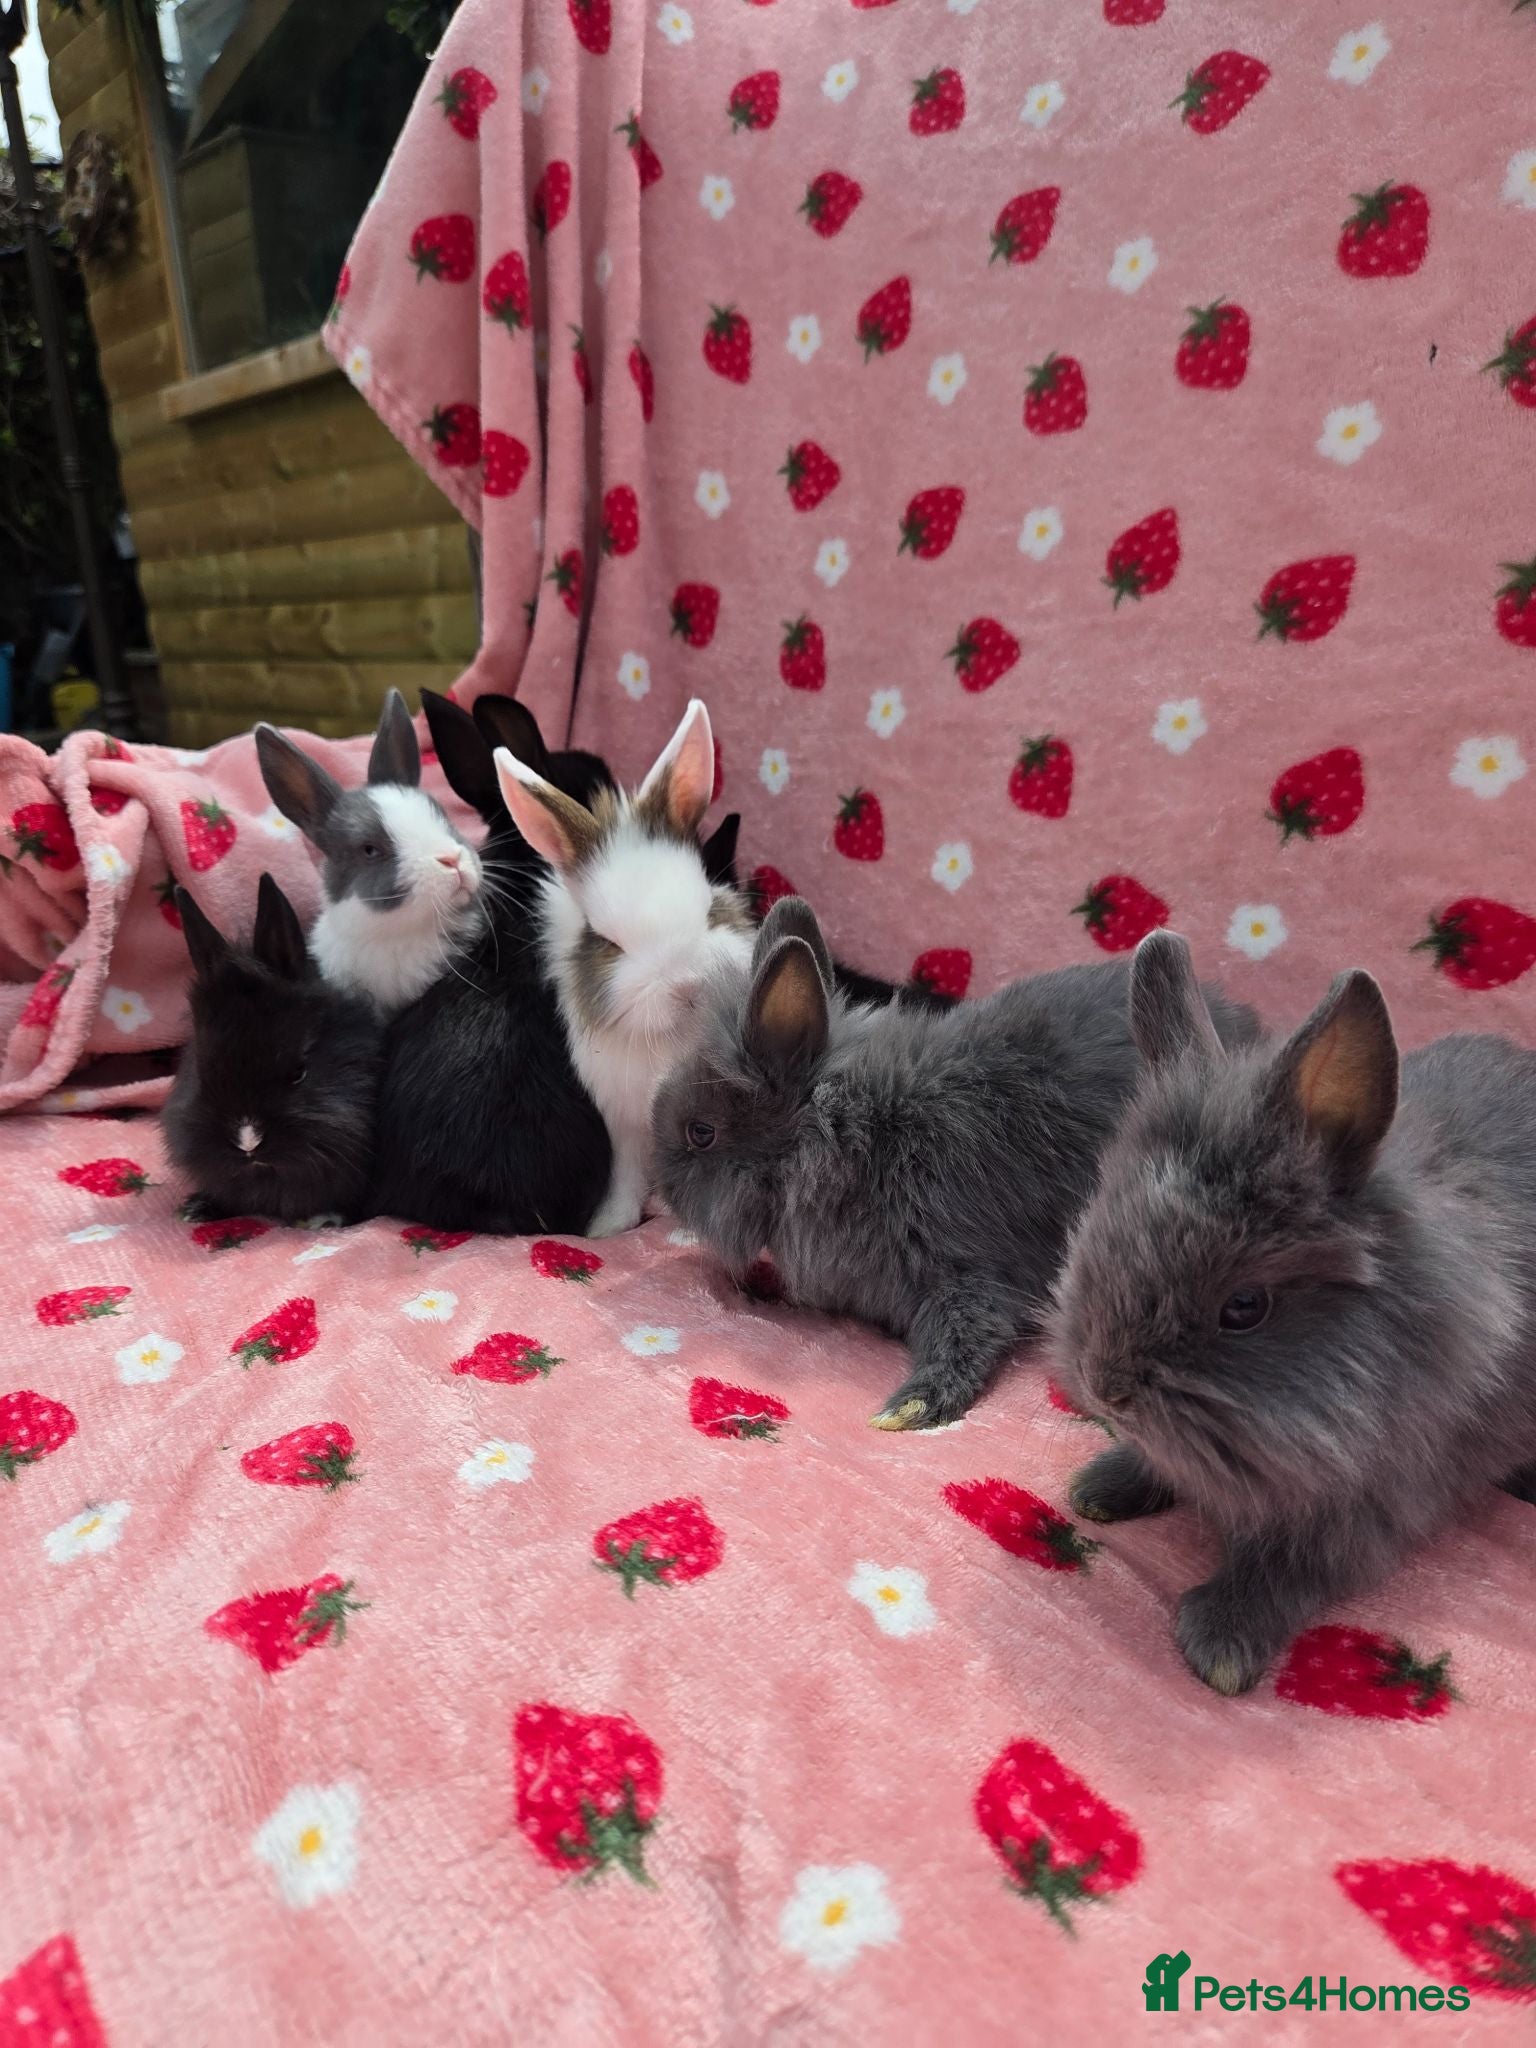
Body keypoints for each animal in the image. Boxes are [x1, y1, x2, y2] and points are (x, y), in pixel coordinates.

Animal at [493, 698, 758, 1238]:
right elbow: (626, 1177)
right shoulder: (623, 1123)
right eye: (608, 942)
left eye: (709, 907)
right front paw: (607, 1229)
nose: (687, 986)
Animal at [652, 897, 1260, 1428]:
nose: (660, 1189)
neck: (852, 1141)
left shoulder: (962, 1265)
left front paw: (907, 1411)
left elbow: (970, 1335)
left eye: (701, 1133)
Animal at [1051, 929, 1536, 1698]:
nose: (1106, 1388)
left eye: (1244, 1307)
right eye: (1098, 1231)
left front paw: (1221, 1644)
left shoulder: (1364, 1507)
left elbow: (1288, 1569)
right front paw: (1100, 1489)